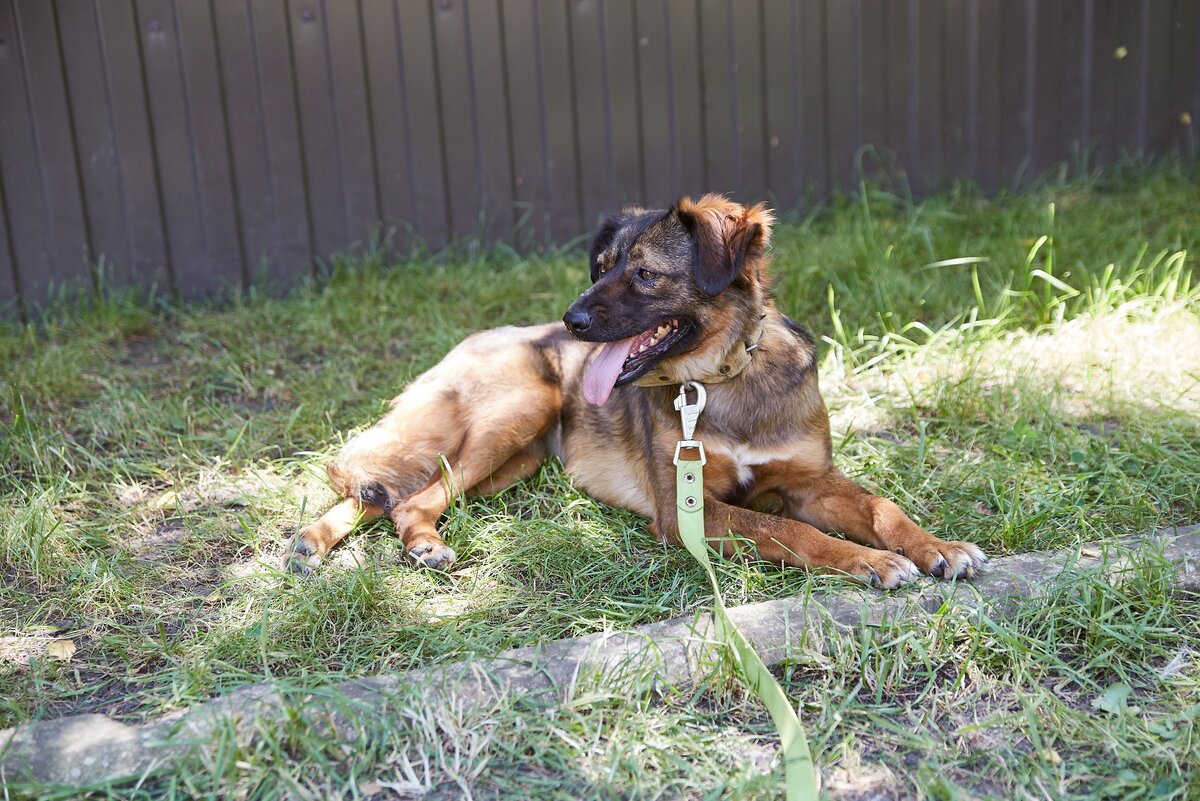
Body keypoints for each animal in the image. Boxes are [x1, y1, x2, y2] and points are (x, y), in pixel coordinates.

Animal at [285, 195, 988, 587]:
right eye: (600, 268)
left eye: (645, 274)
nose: (572, 321)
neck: (721, 381)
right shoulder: (688, 510)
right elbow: (788, 531)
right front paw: (869, 562)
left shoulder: (810, 482)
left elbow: (882, 507)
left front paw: (937, 547)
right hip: (517, 413)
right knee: (398, 492)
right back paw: (384, 544)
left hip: (517, 462)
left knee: (394, 495)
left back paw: (336, 543)